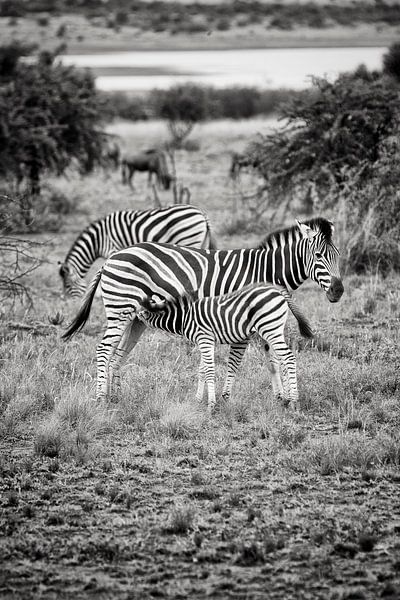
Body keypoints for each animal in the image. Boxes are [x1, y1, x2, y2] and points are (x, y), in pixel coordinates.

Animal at [58, 204, 216, 298]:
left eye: (67, 286)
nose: (68, 304)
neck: (98, 240)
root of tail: (201, 213)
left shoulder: (113, 249)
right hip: (201, 241)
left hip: (188, 239)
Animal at [138, 286, 316, 412]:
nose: (135, 318)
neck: (185, 317)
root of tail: (278, 290)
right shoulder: (205, 341)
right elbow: (202, 371)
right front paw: (197, 400)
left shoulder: (204, 339)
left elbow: (209, 371)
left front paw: (211, 405)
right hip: (276, 329)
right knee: (281, 360)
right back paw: (286, 399)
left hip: (269, 327)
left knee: (288, 357)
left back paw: (294, 402)